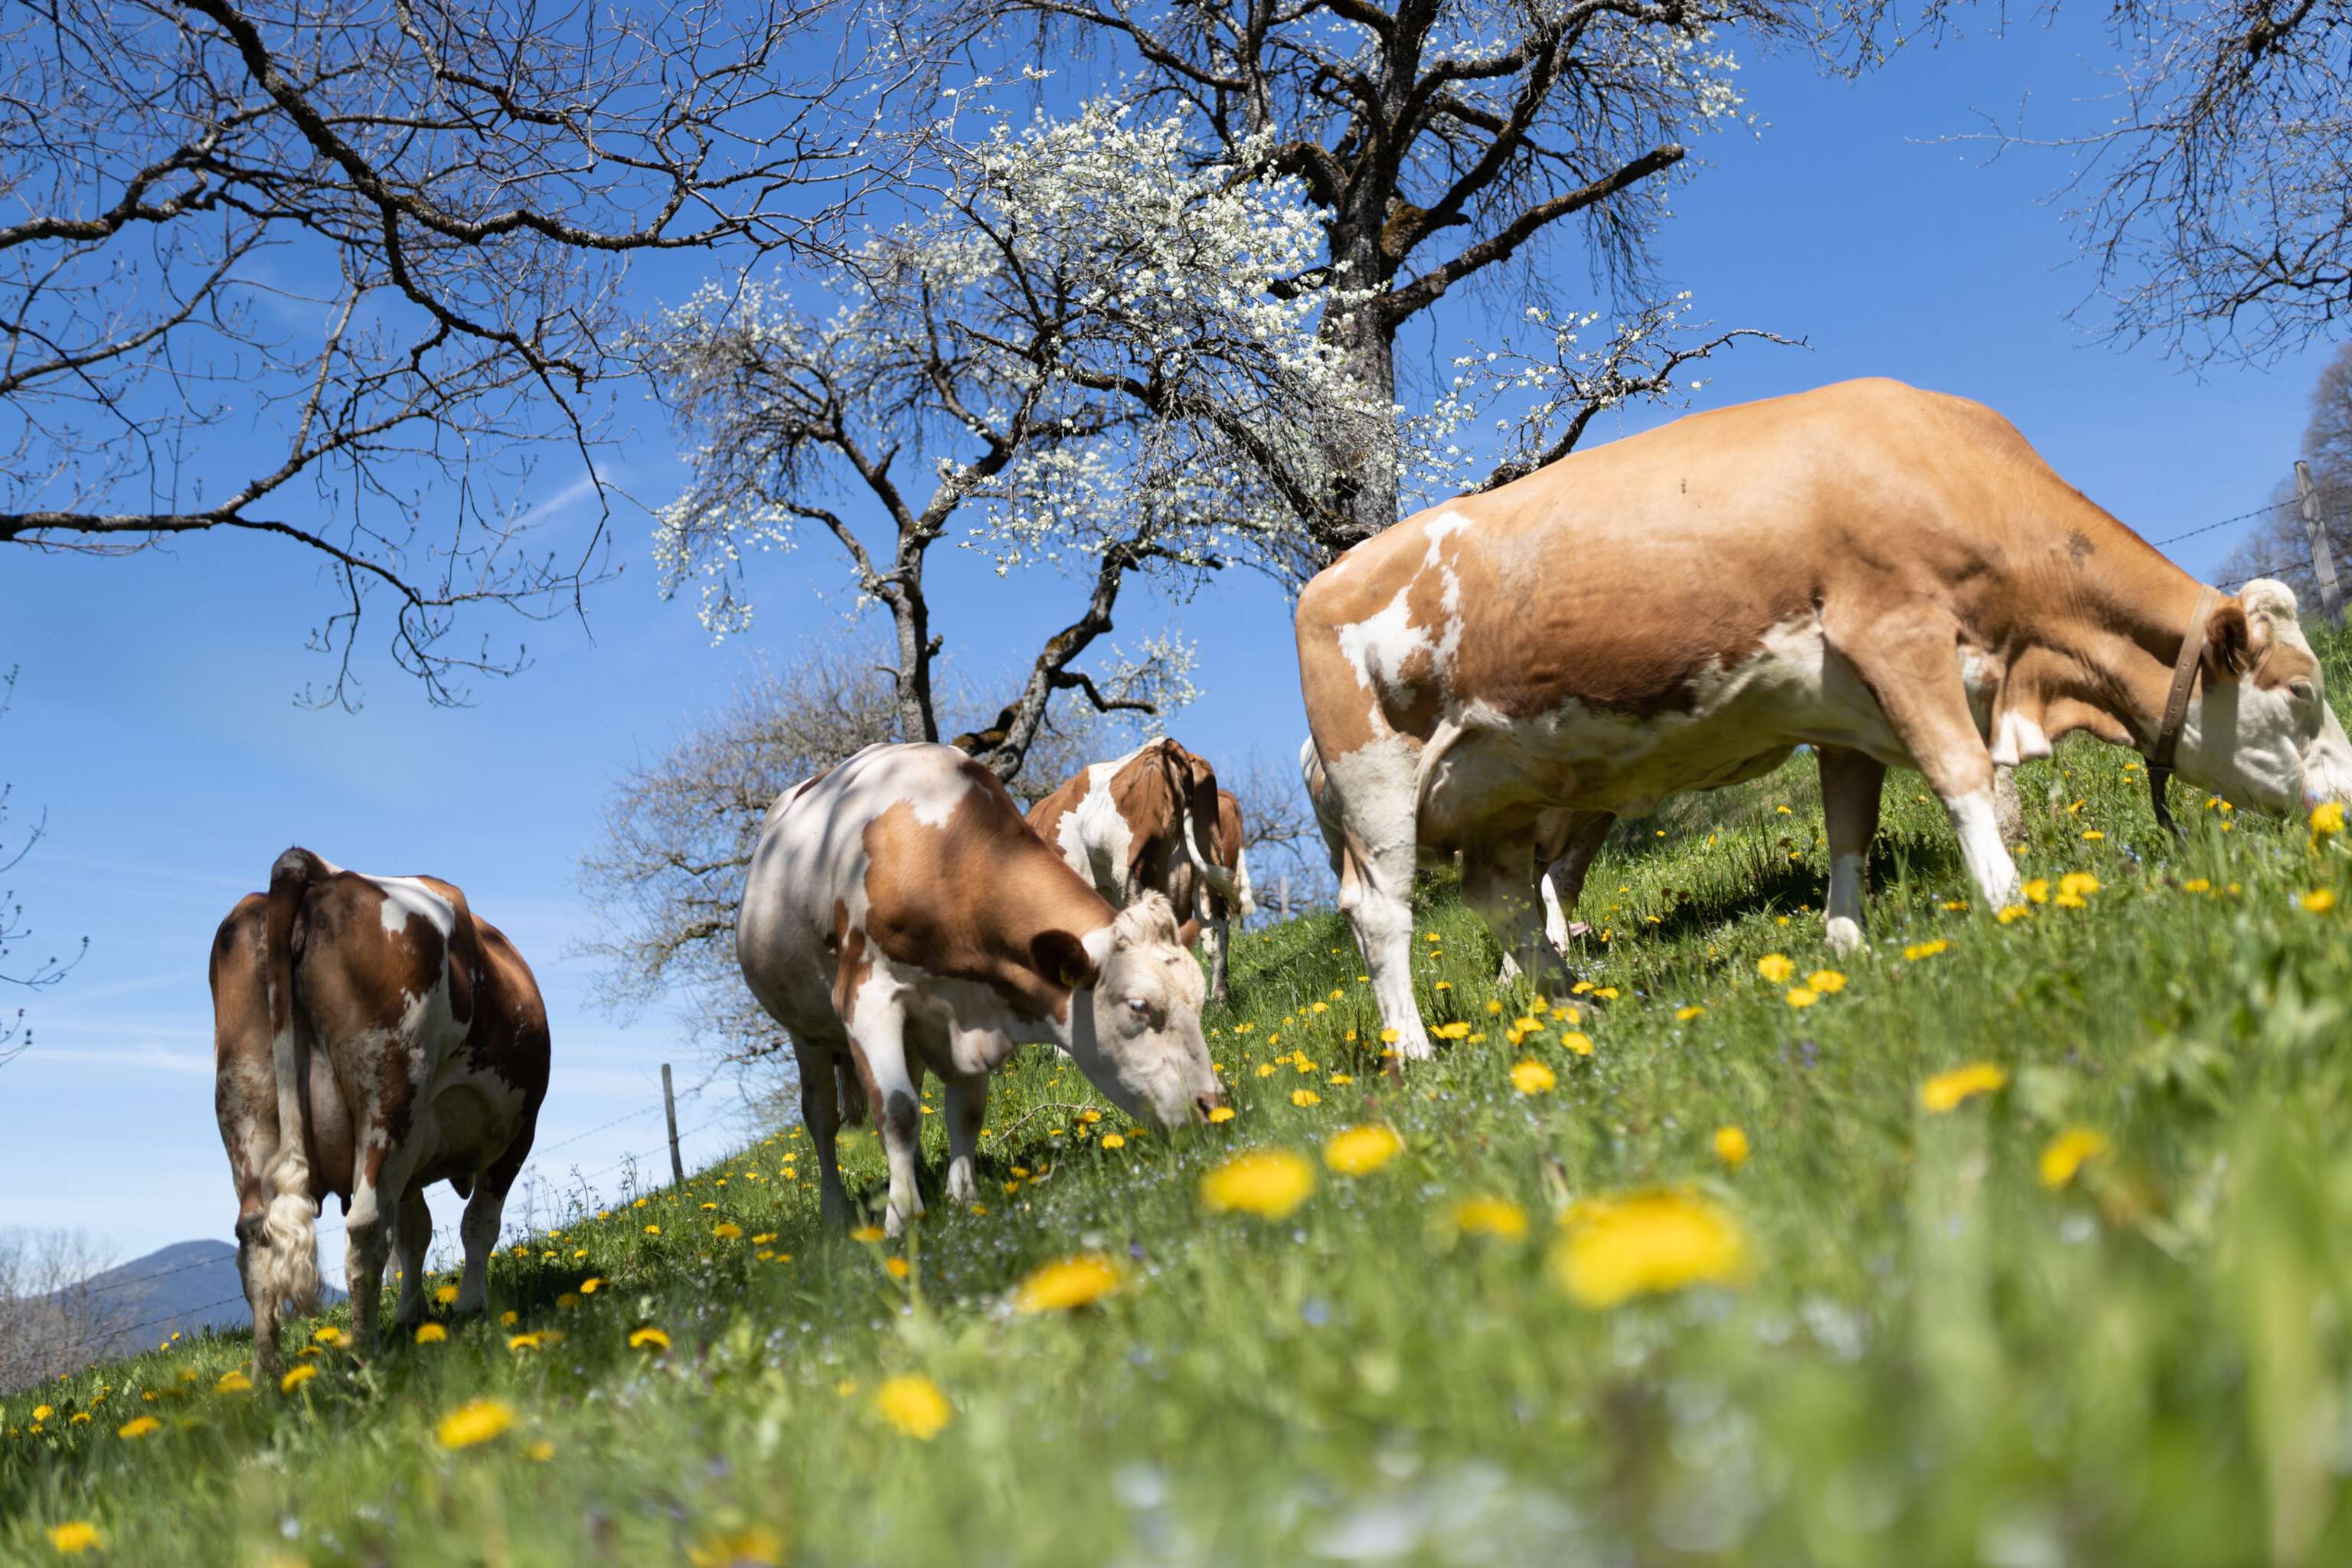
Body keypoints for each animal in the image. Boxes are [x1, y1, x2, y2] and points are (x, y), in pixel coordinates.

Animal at [210, 849, 549, 1382]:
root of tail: (313, 868)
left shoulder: (412, 1163)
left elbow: (414, 1233)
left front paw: (414, 1315)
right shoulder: (516, 1134)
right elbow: (477, 1224)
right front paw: (470, 1308)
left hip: (242, 1106)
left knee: (255, 1238)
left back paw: (268, 1377)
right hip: (389, 1092)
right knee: (367, 1228)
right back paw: (363, 1355)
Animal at [738, 743, 1225, 1235]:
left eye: (1198, 1002)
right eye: (1138, 1005)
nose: (1213, 1106)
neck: (943, 856)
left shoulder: (971, 1010)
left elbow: (966, 1112)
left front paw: (963, 1202)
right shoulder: (867, 999)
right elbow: (897, 1112)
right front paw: (902, 1219)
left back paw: (917, 1174)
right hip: (806, 1030)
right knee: (822, 1117)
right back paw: (837, 1213)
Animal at [1295, 378, 2352, 1060]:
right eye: (2302, 691)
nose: (2347, 797)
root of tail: (1327, 577)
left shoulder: (1850, 710)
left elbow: (1853, 824)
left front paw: (1847, 943)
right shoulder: (1899, 637)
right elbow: (1964, 777)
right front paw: (2013, 907)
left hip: (1503, 785)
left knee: (1508, 896)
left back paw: (1570, 1005)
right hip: (1377, 782)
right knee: (1382, 914)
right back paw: (1416, 1050)